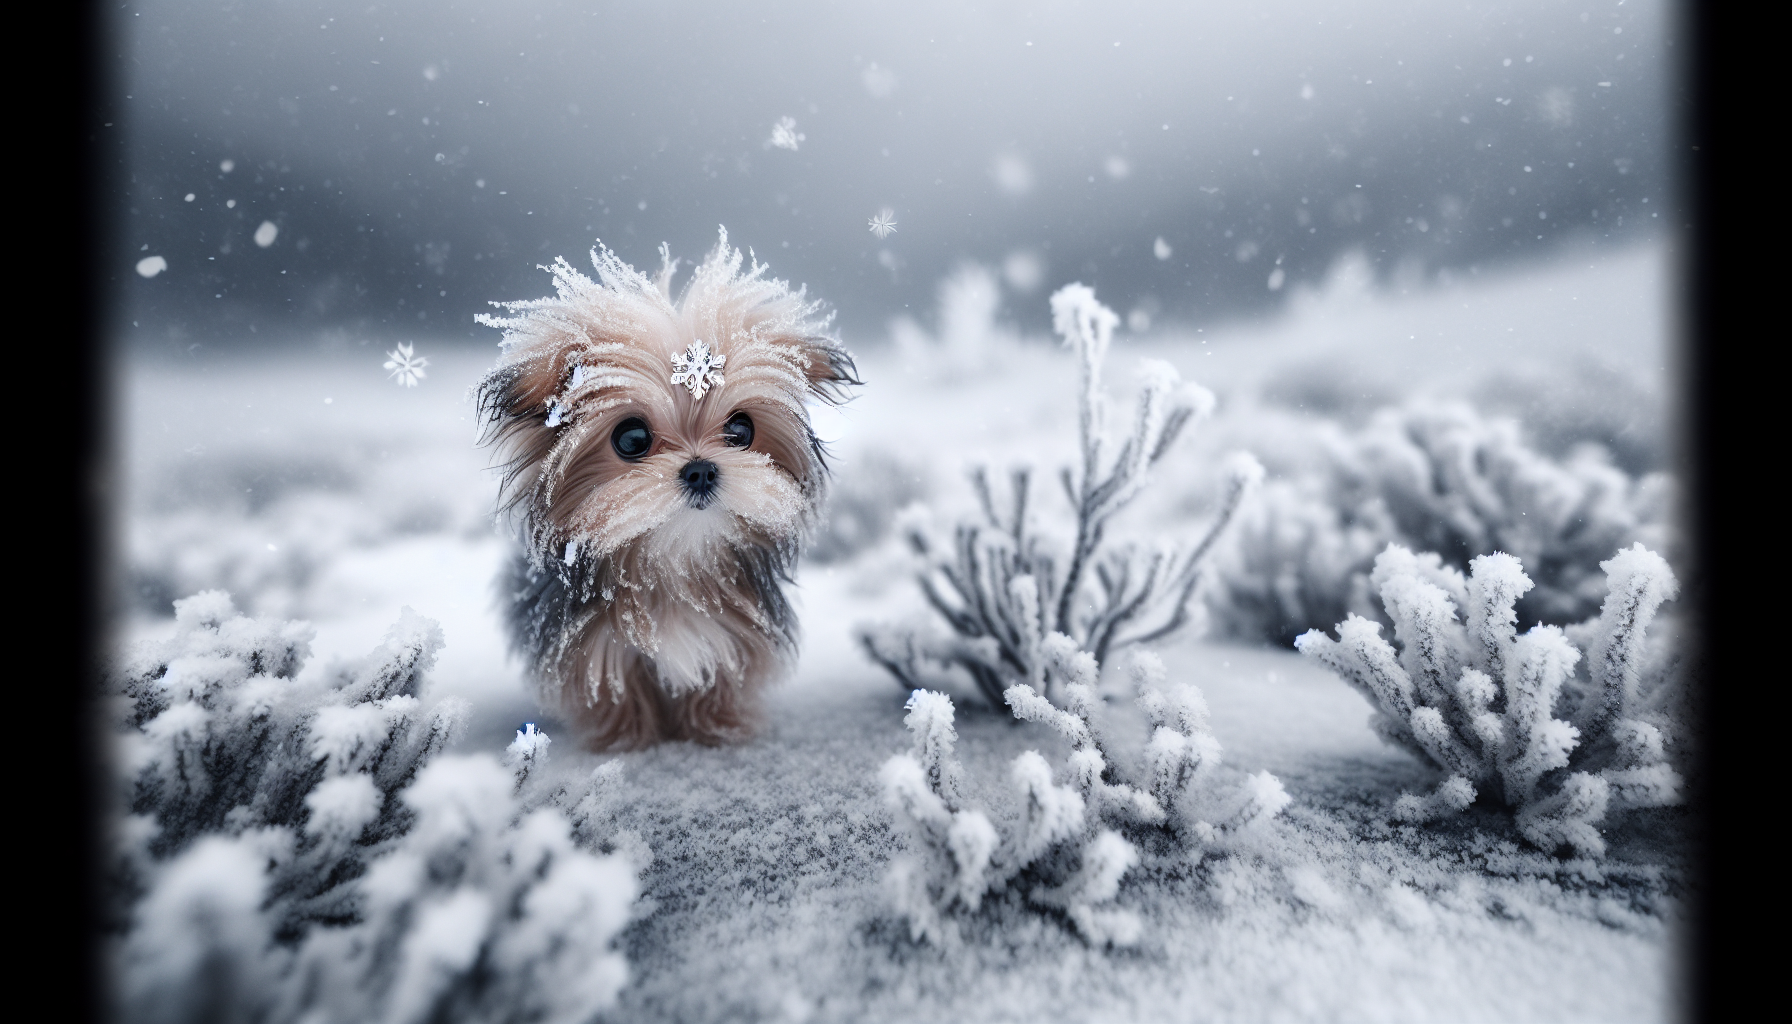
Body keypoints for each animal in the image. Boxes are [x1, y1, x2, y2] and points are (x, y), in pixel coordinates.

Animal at [469, 228, 860, 749]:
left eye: (740, 430)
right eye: (632, 438)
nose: (700, 470)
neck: (675, 559)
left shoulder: (737, 633)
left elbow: (720, 680)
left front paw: (717, 728)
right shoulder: (594, 647)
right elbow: (615, 690)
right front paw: (628, 739)